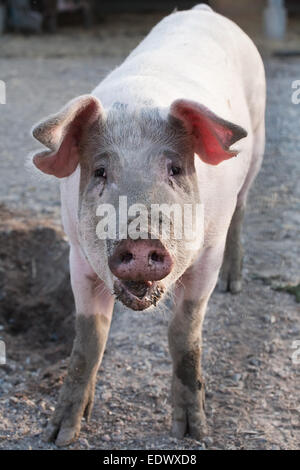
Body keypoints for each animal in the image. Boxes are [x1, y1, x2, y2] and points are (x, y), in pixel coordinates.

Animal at [30, 4, 264, 444]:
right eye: (100, 171)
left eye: (174, 169)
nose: (139, 241)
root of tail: (204, 10)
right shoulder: (77, 255)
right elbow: (89, 340)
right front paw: (59, 434)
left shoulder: (207, 253)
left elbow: (185, 335)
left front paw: (193, 432)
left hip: (255, 144)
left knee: (242, 210)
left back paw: (234, 285)